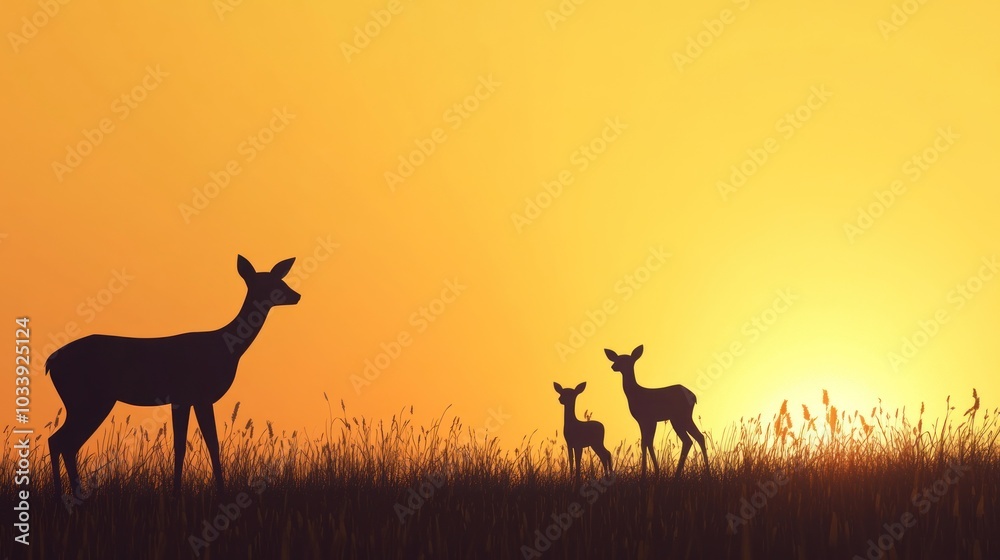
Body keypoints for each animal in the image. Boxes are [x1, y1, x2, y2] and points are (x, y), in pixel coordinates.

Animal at [45, 255, 300, 499]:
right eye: (271, 283)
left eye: (281, 280)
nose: (296, 295)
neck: (227, 348)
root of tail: (50, 362)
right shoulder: (195, 396)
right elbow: (202, 444)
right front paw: (210, 494)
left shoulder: (186, 399)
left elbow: (192, 444)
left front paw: (183, 492)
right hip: (88, 399)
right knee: (61, 440)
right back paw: (65, 496)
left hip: (84, 401)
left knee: (62, 441)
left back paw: (67, 495)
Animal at [604, 345, 709, 478]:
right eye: (617, 359)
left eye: (625, 360)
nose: (613, 366)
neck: (635, 394)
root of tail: (694, 396)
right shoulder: (648, 421)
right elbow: (648, 442)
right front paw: (656, 472)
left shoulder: (646, 419)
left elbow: (645, 443)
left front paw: (645, 474)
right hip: (682, 417)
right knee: (698, 437)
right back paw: (706, 473)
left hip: (679, 417)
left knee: (689, 439)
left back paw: (678, 475)